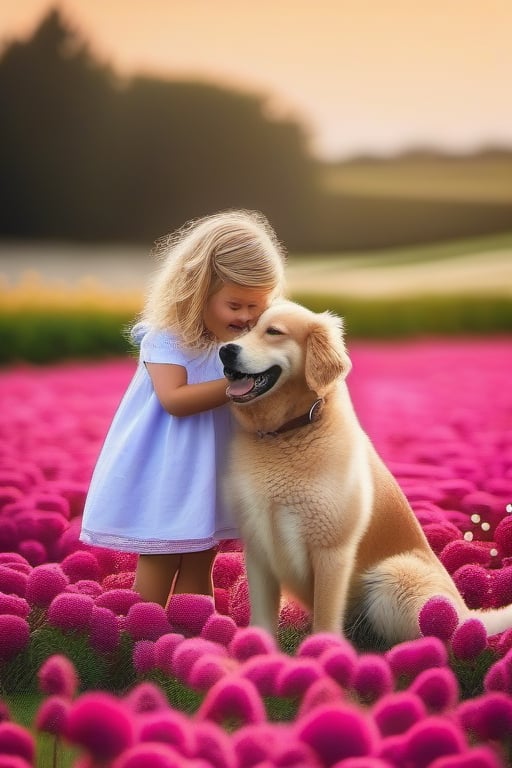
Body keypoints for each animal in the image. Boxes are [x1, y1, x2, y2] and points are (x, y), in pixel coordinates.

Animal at [219, 300, 512, 640]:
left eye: (274, 332)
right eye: (243, 329)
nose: (225, 350)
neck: (284, 434)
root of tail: (467, 613)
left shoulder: (332, 550)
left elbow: (326, 618)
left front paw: (324, 649)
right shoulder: (259, 548)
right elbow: (263, 619)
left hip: (394, 578)